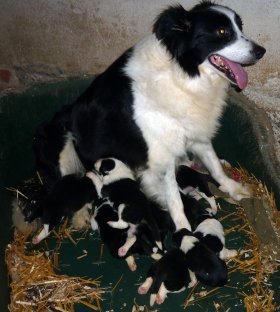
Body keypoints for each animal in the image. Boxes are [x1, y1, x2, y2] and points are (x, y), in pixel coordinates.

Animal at [33, 2, 264, 238]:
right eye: (222, 32)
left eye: (240, 27)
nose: (261, 51)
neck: (182, 74)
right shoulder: (162, 154)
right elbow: (174, 198)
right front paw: (183, 228)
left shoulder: (195, 131)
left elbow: (214, 163)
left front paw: (234, 188)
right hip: (60, 141)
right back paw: (81, 216)